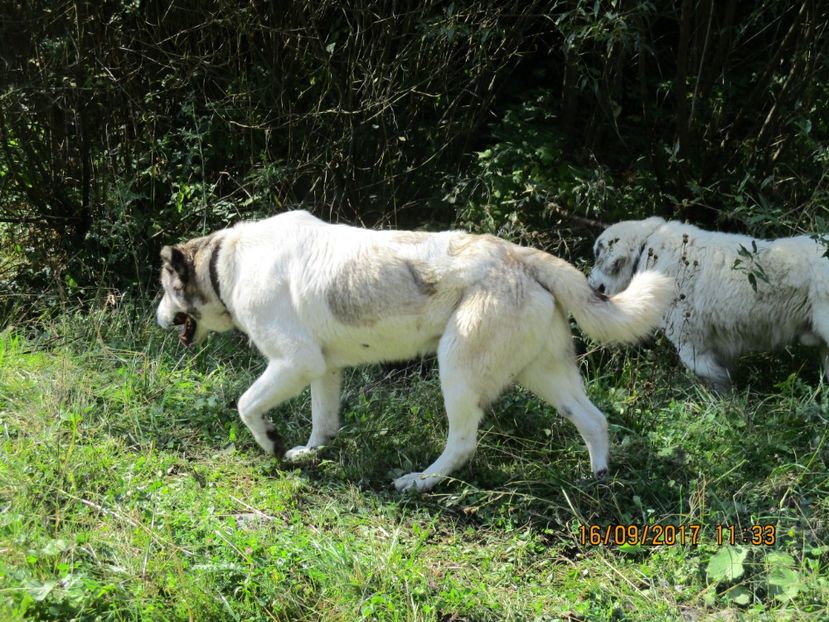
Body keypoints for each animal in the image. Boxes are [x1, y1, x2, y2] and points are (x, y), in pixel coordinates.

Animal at [157, 212, 672, 494]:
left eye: (166, 287)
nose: (158, 317)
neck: (226, 262)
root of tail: (516, 254)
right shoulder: (322, 368)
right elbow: (323, 421)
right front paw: (311, 452)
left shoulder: (293, 362)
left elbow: (246, 405)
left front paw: (271, 443)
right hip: (546, 376)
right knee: (595, 421)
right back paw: (598, 480)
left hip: (457, 369)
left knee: (463, 443)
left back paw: (421, 482)